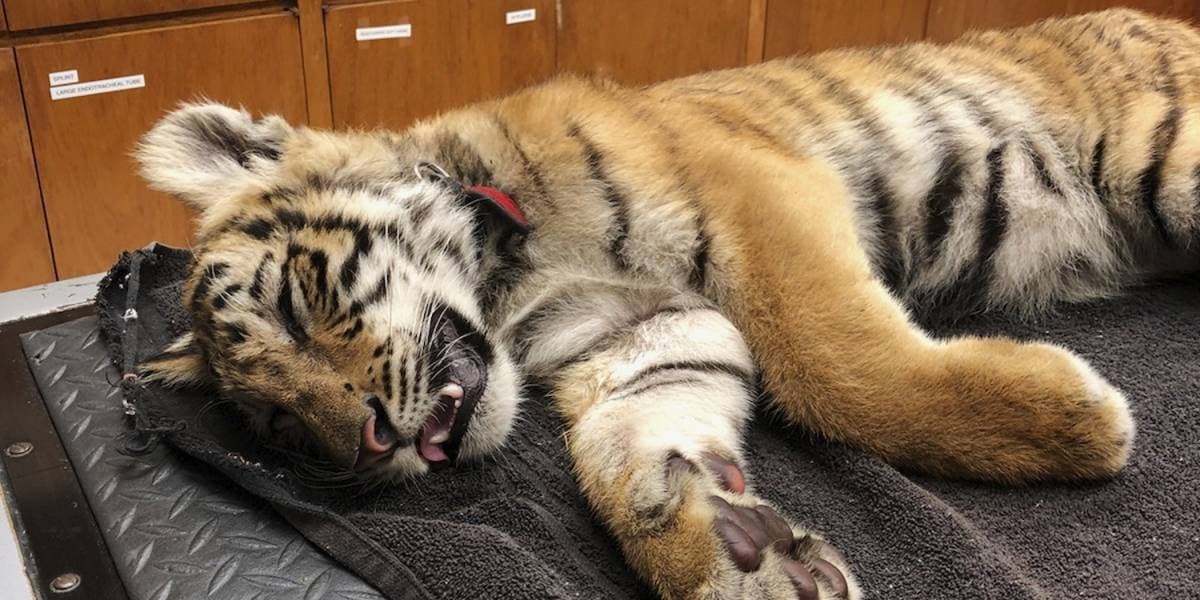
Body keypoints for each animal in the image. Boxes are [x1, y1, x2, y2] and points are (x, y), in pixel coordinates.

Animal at [131, 8, 1200, 599]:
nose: (366, 445)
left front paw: (1076, 422)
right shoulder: (641, 334)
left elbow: (835, 364)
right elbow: (626, 449)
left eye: (297, 305)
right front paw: (736, 554)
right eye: (279, 425)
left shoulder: (757, 196)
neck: (514, 289)